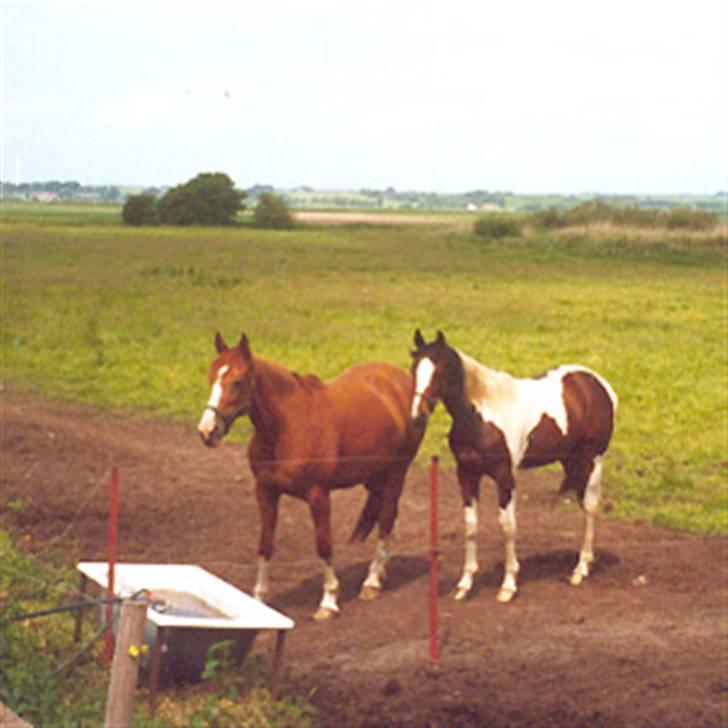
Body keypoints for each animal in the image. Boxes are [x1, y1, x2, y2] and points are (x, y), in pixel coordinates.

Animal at [199, 334, 426, 620]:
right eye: (211, 377)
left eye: (237, 382)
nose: (207, 431)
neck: (288, 425)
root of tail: (402, 381)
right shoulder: (265, 491)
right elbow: (265, 543)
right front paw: (259, 597)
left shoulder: (318, 495)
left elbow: (323, 544)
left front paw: (328, 601)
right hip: (376, 476)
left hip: (397, 472)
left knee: (386, 519)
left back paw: (372, 582)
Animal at [410, 332, 616, 604]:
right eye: (414, 368)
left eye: (440, 371)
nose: (417, 416)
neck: (480, 416)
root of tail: (599, 384)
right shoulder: (466, 474)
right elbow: (470, 526)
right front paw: (464, 584)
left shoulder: (504, 476)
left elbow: (508, 527)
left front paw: (508, 585)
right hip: (571, 461)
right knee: (584, 505)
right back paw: (586, 563)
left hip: (593, 460)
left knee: (590, 507)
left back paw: (580, 570)